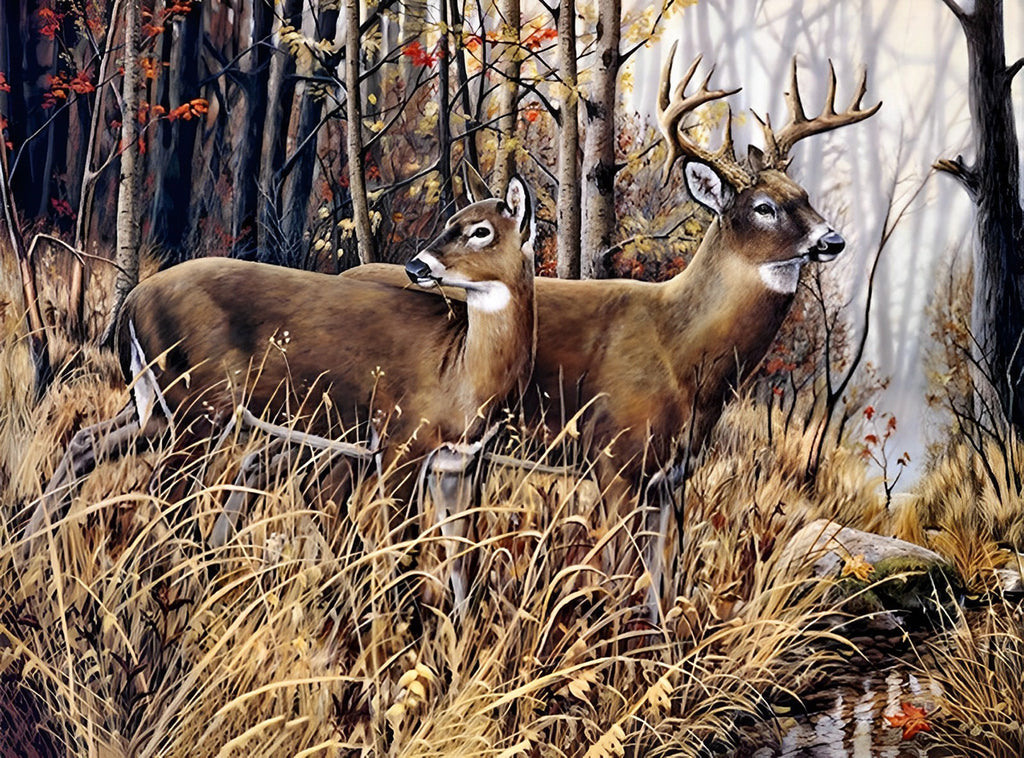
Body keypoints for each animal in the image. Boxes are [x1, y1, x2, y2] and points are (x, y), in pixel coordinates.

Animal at [22, 175, 536, 565]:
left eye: (481, 230)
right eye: (451, 222)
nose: (417, 265)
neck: (461, 371)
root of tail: (131, 301)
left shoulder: (455, 464)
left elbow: (458, 554)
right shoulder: (400, 442)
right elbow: (400, 545)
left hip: (159, 405)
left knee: (89, 441)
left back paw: (33, 548)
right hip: (199, 402)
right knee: (165, 490)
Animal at [346, 47, 880, 610]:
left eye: (804, 194)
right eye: (765, 207)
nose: (834, 240)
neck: (684, 353)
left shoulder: (671, 475)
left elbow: (660, 582)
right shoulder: (615, 455)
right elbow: (620, 575)